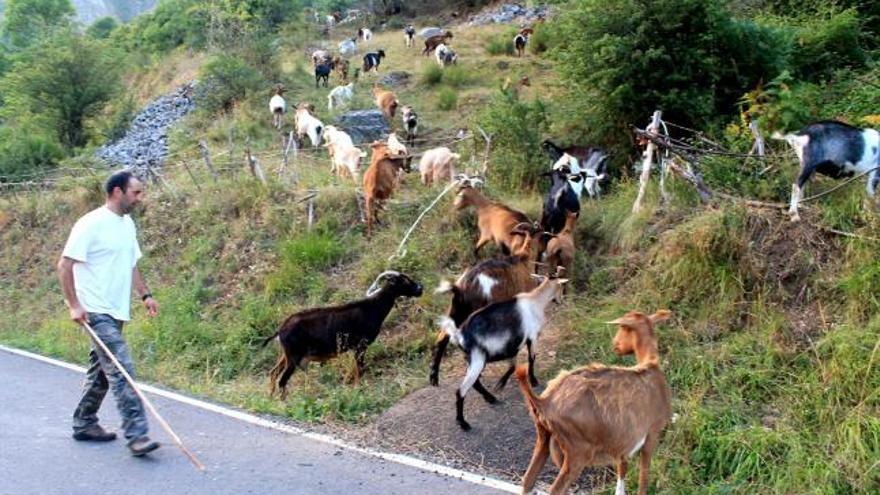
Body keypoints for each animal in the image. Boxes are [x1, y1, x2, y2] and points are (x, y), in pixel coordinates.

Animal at [262, 270, 422, 398]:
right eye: (405, 280)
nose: (420, 288)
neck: (373, 307)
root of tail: (281, 330)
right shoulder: (361, 346)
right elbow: (360, 369)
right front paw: (358, 389)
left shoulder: (356, 348)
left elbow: (356, 369)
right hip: (294, 357)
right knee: (282, 380)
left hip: (286, 355)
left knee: (273, 372)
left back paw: (270, 396)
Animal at [438, 276, 564, 430]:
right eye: (561, 288)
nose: (561, 300)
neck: (535, 301)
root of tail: (459, 334)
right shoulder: (532, 337)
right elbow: (531, 358)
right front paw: (533, 381)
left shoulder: (513, 344)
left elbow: (513, 366)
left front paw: (501, 383)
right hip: (478, 359)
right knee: (461, 390)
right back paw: (463, 423)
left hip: (473, 360)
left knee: (475, 383)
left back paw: (491, 398)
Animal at [516, 310, 672, 495]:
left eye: (623, 328)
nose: (615, 345)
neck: (650, 365)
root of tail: (543, 401)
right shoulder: (652, 432)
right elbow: (644, 476)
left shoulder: (623, 443)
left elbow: (622, 472)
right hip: (578, 450)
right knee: (556, 488)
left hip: (543, 437)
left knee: (528, 480)